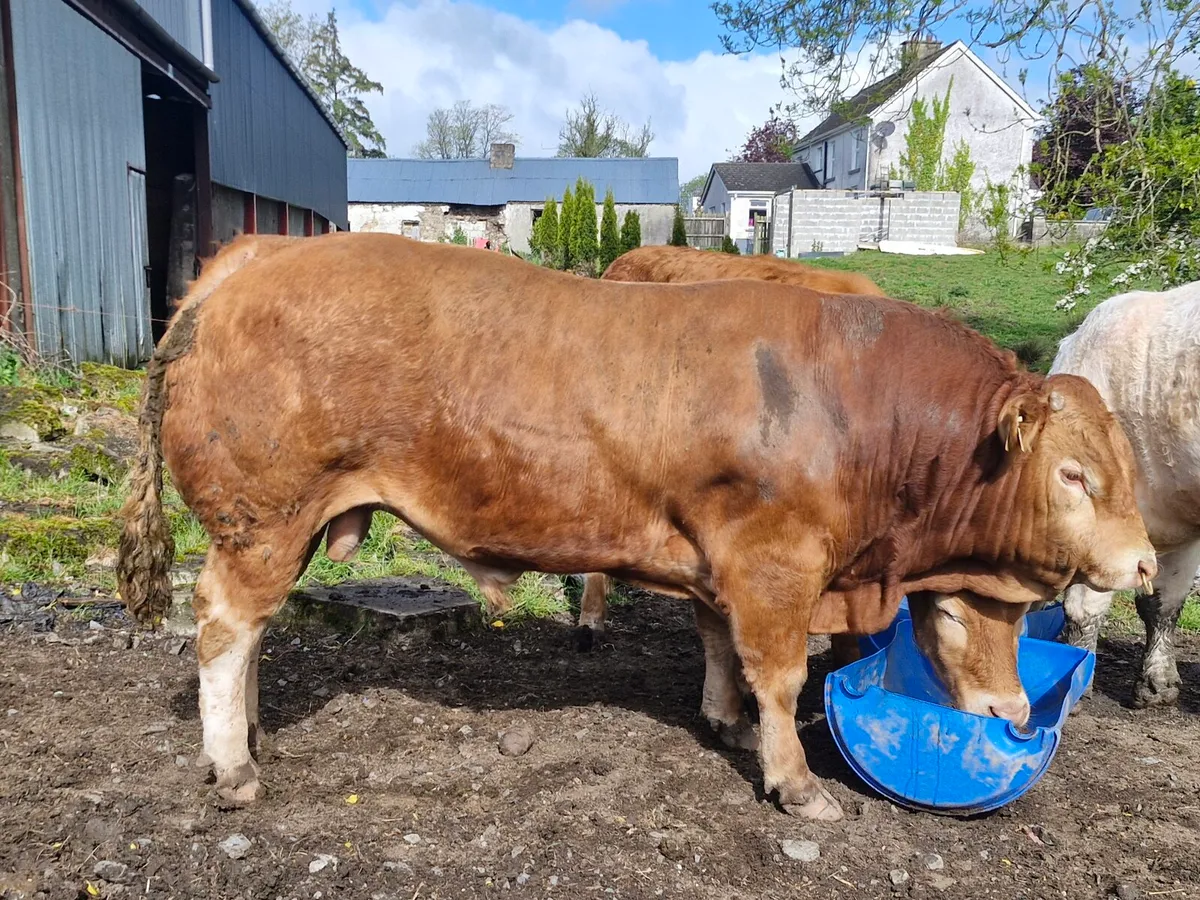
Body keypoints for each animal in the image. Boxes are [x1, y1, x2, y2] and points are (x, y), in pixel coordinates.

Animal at [117, 232, 1154, 822]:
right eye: (1075, 473)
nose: (1145, 561)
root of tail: (253, 253)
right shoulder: (776, 563)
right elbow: (779, 675)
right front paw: (795, 783)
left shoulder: (720, 560)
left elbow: (719, 644)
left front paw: (724, 720)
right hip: (264, 519)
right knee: (223, 626)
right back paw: (232, 766)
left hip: (273, 527)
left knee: (248, 634)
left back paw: (253, 736)